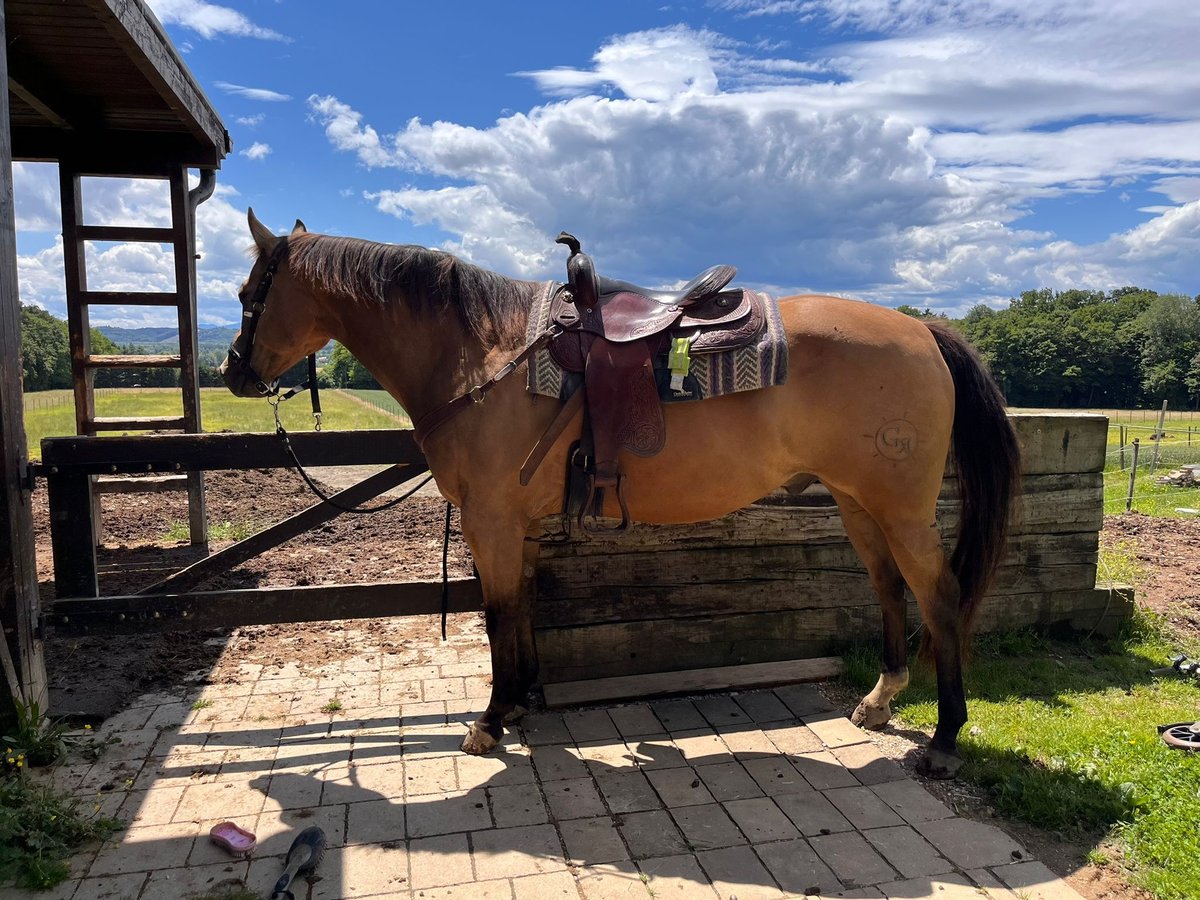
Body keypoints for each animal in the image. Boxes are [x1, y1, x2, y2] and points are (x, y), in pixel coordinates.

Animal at [220, 211, 1017, 782]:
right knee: (887, 587)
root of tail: (923, 330)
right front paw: (523, 704)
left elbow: (497, 613)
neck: (484, 354)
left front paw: (492, 718)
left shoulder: (490, 521)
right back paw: (880, 701)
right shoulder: (517, 525)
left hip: (902, 509)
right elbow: (522, 609)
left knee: (940, 597)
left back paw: (945, 737)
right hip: (859, 504)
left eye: (249, 294)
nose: (233, 372)